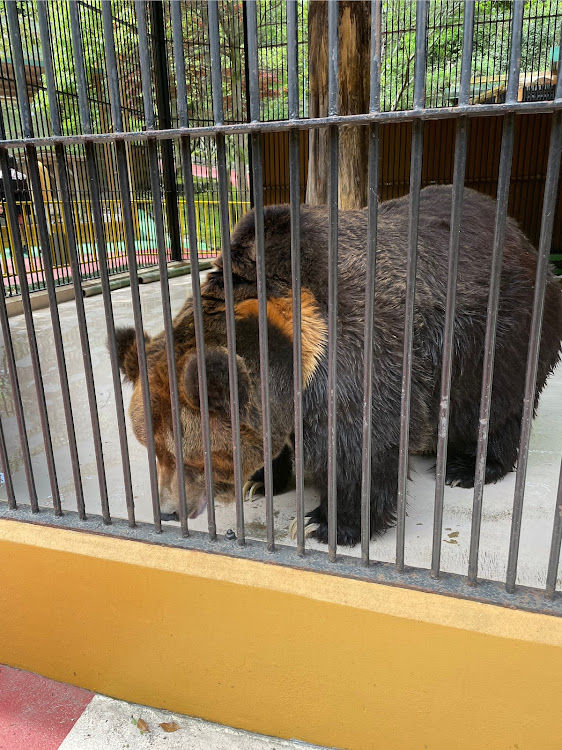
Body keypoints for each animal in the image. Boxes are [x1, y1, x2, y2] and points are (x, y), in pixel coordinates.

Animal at [115, 184, 560, 544]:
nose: (168, 510)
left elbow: (362, 446)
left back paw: (466, 466)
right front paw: (260, 481)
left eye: (190, 458)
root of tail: (523, 237)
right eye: (153, 449)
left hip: (502, 333)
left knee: (497, 406)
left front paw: (322, 522)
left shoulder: (358, 352)